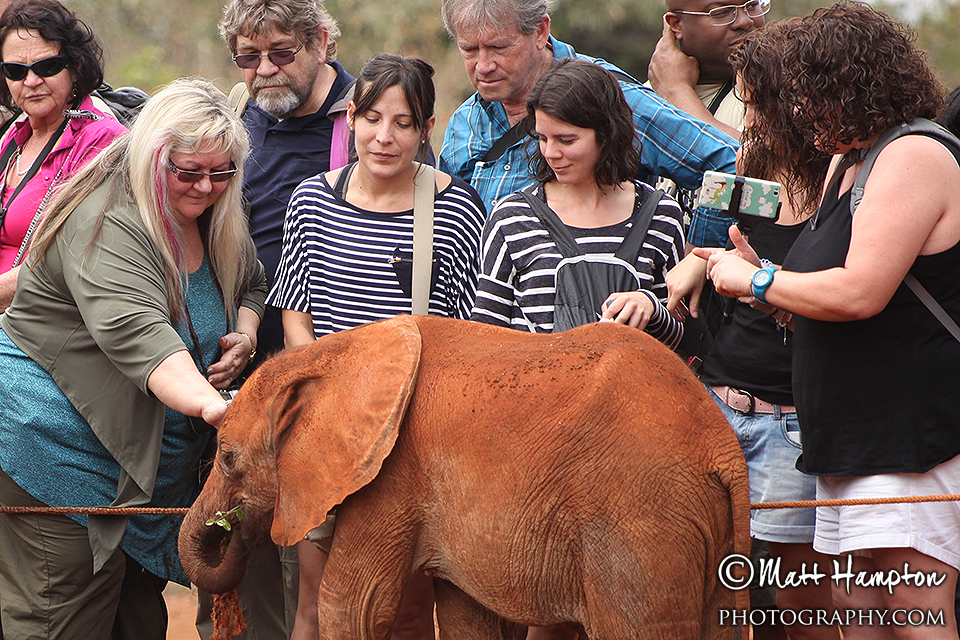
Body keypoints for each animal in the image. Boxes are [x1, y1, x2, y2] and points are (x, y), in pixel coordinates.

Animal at [179, 314, 749, 640]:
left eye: (227, 457)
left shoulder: (394, 473)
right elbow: (466, 618)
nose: (231, 528)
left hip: (639, 523)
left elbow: (352, 607)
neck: (333, 353)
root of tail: (723, 448)